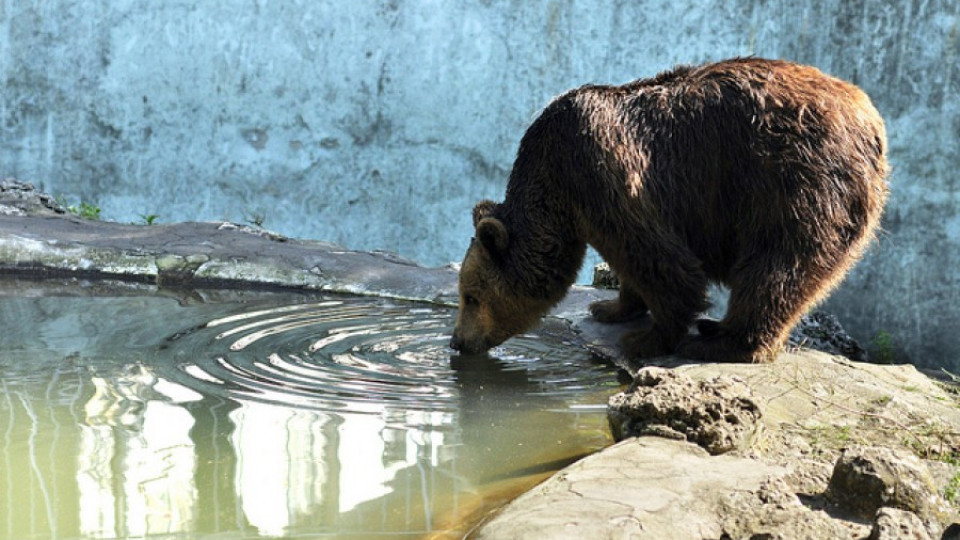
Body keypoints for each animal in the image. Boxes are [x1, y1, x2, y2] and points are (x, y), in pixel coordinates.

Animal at [448, 58, 884, 362]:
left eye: (470, 296)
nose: (456, 342)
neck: (553, 183)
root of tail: (869, 117)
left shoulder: (600, 169)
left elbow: (660, 260)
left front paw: (645, 337)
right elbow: (629, 260)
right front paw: (609, 306)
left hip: (793, 186)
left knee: (776, 266)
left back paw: (723, 342)